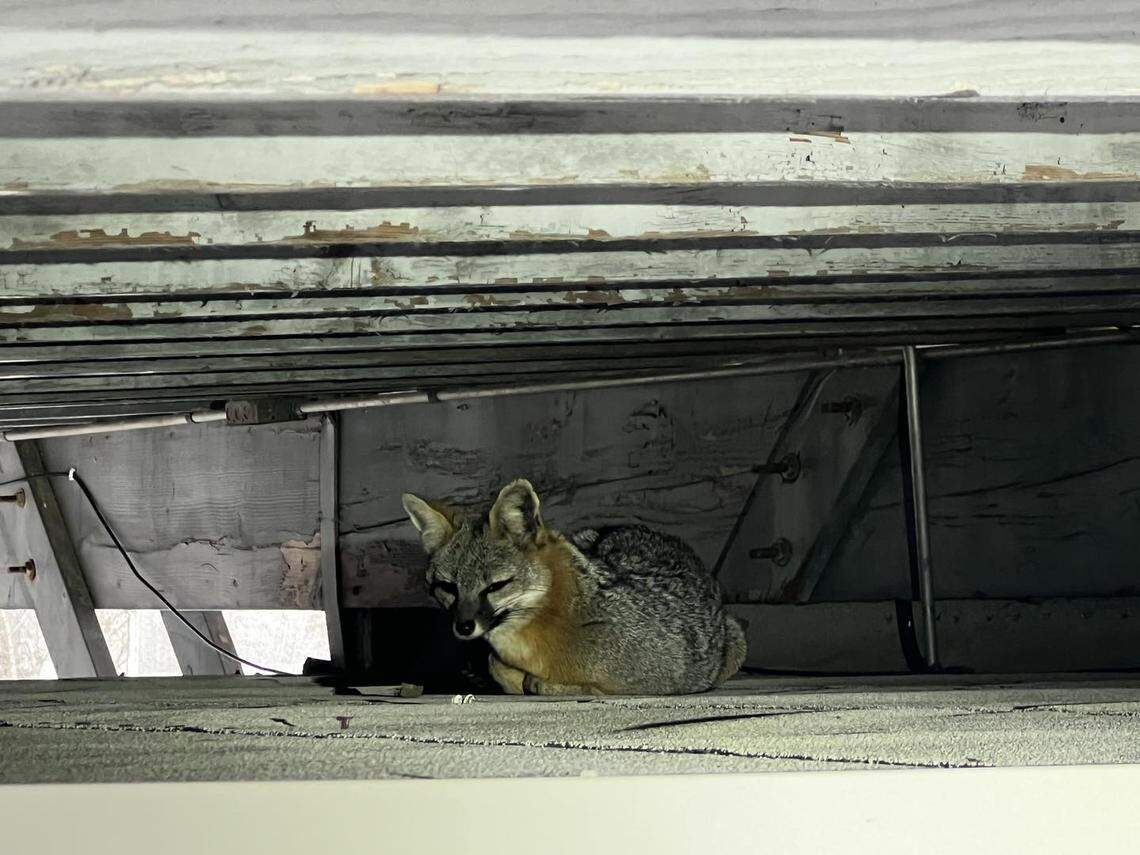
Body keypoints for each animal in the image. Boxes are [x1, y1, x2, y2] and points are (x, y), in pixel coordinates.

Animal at [401, 478, 746, 695]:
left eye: (496, 585)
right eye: (447, 587)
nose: (464, 627)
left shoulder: (662, 676)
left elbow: (565, 684)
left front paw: (554, 684)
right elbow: (497, 667)